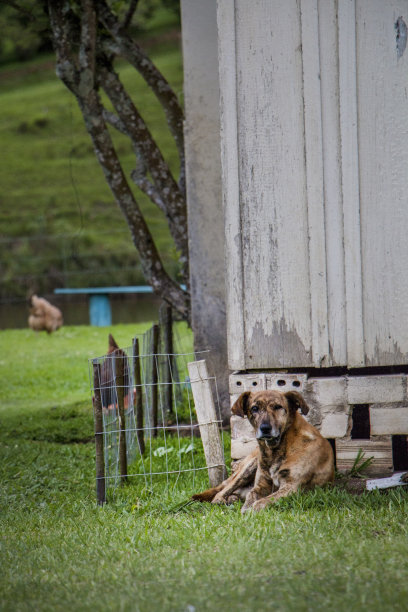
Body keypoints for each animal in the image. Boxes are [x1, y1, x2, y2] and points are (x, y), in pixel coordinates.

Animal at [194, 392, 334, 512]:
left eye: (278, 407)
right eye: (254, 408)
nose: (265, 428)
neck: (278, 449)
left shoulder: (291, 487)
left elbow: (261, 502)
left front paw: (251, 510)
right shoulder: (261, 485)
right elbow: (252, 497)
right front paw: (246, 510)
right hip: (248, 467)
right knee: (220, 493)